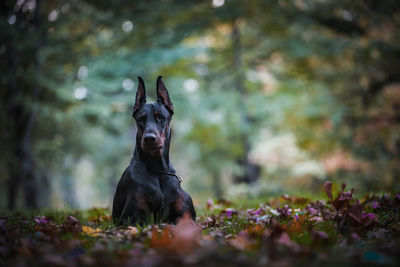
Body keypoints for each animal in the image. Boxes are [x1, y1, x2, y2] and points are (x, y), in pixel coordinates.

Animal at [111, 76, 196, 226]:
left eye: (160, 117)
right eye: (140, 119)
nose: (149, 138)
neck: (158, 169)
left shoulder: (184, 217)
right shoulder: (129, 217)